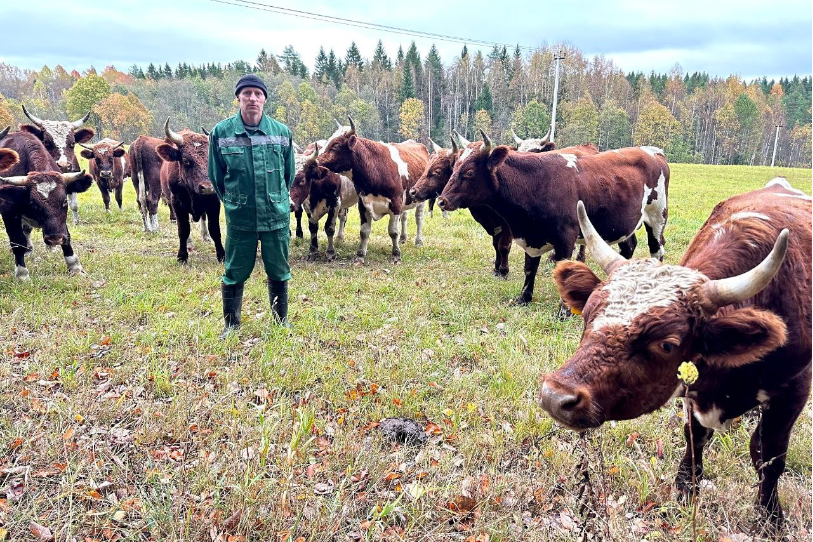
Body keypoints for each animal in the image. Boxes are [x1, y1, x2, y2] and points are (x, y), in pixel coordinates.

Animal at [155, 118, 224, 264]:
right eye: (186, 160)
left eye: (211, 159)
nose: (207, 187)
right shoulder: (177, 204)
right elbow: (183, 230)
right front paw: (182, 256)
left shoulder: (214, 202)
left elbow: (215, 229)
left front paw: (221, 255)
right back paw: (189, 244)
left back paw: (205, 236)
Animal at [314, 117, 428, 266]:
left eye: (336, 145)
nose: (315, 162)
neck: (375, 167)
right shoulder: (363, 203)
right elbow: (364, 231)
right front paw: (360, 256)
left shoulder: (396, 203)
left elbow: (393, 231)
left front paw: (396, 255)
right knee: (404, 217)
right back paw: (403, 238)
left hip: (420, 199)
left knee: (419, 218)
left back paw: (418, 241)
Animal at [438, 132, 668, 308]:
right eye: (454, 166)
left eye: (469, 172)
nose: (442, 200)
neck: (536, 182)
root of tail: (653, 152)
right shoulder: (530, 236)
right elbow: (530, 268)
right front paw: (524, 298)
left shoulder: (566, 237)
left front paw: (563, 311)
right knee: (628, 246)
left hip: (657, 217)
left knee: (657, 249)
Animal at [540, 181, 812, 528]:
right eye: (586, 315)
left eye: (667, 344)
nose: (555, 396)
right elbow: (694, 436)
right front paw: (685, 491)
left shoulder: (794, 389)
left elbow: (769, 455)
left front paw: (770, 517)